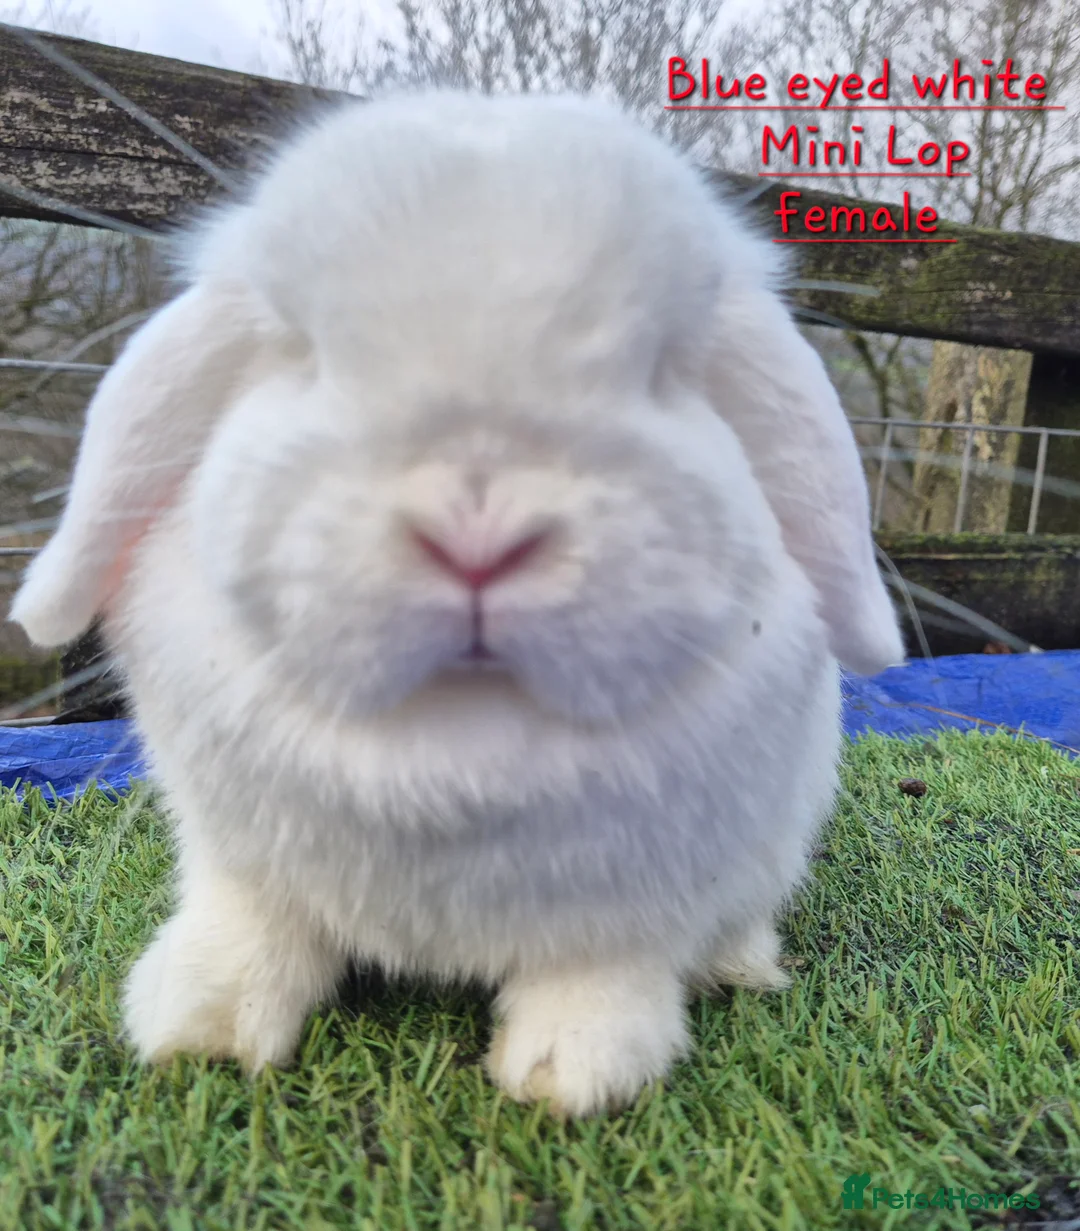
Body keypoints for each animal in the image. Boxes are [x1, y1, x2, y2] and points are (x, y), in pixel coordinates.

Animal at [10, 90, 904, 1117]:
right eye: (303, 352)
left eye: (664, 366)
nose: (478, 534)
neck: (453, 761)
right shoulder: (236, 855)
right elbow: (250, 925)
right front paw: (201, 1029)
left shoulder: (643, 893)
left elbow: (605, 967)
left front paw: (573, 1072)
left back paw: (740, 963)